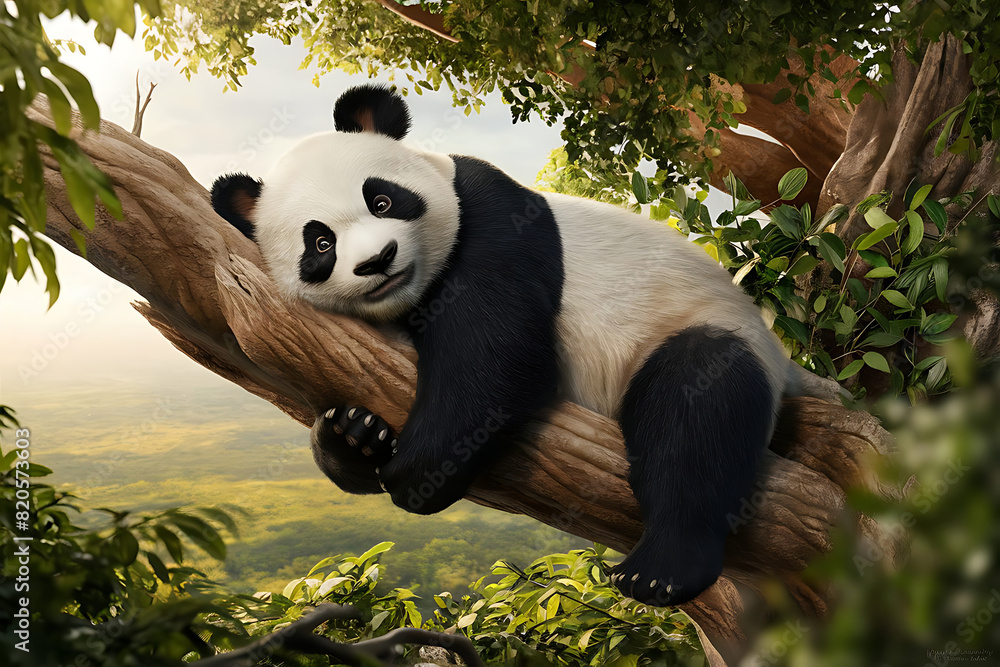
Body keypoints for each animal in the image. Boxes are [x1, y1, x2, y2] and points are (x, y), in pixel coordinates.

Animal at [211, 84, 815, 607]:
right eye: (321, 243)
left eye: (382, 200)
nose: (378, 261)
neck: (412, 297)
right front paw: (354, 434)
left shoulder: (493, 221)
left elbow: (497, 354)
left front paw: (416, 472)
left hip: (696, 327)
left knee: (697, 407)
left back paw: (660, 570)